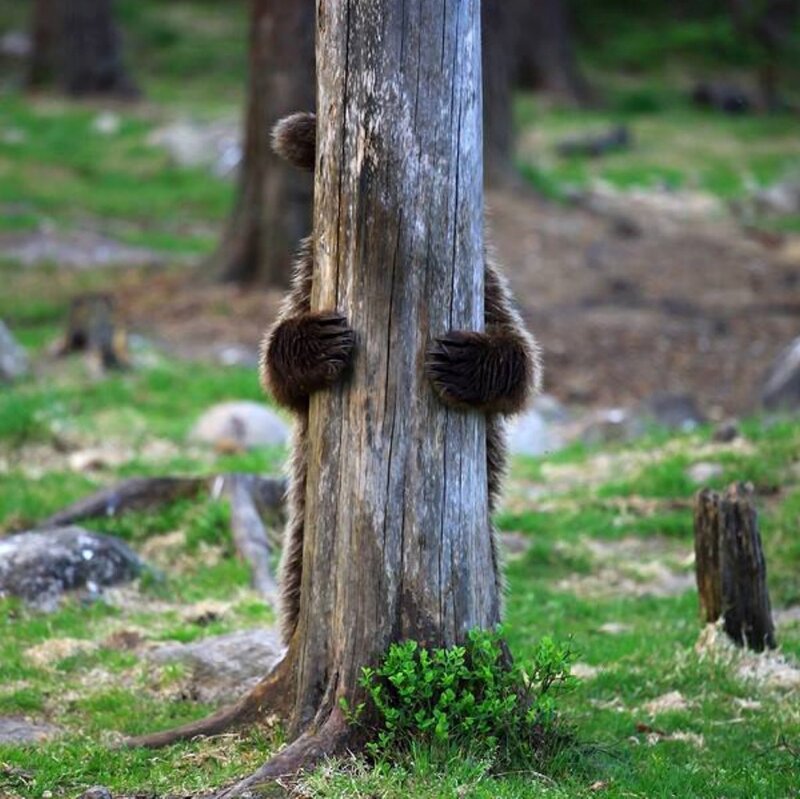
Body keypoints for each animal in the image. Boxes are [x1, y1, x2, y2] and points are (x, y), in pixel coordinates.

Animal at [262, 112, 541, 644]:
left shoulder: (487, 292)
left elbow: (519, 362)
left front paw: (461, 361)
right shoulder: (309, 286)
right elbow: (279, 369)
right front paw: (321, 342)